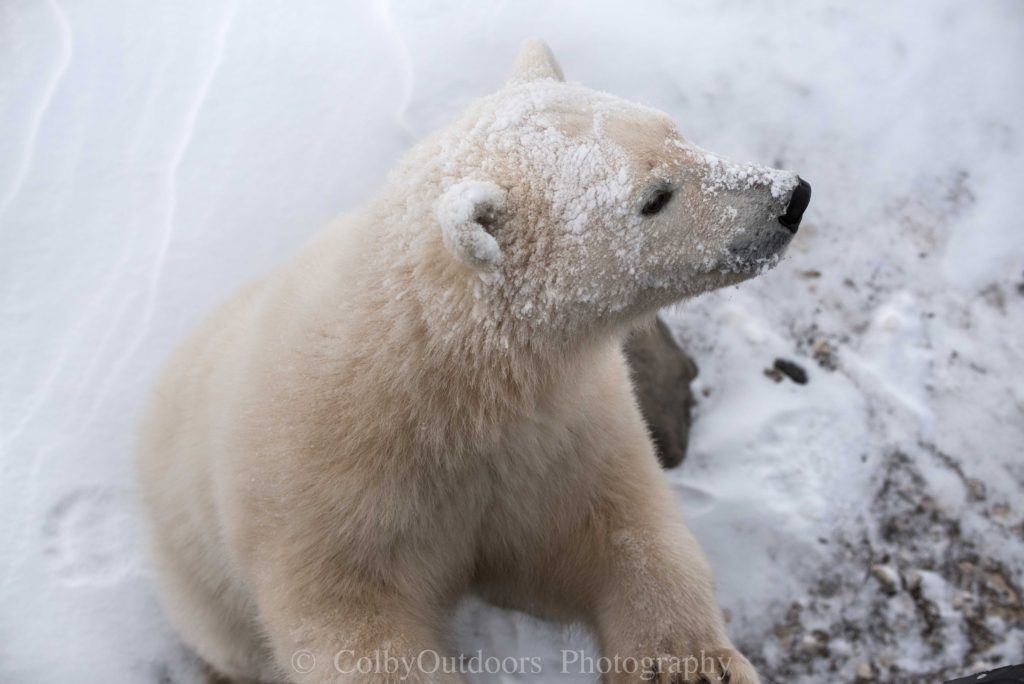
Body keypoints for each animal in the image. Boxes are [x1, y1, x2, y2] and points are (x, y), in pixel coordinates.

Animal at [138, 40, 810, 684]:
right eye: (656, 197)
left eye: (675, 130)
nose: (791, 198)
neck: (441, 379)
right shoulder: (321, 502)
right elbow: (352, 631)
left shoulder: (552, 441)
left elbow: (618, 536)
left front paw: (692, 666)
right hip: (193, 569)